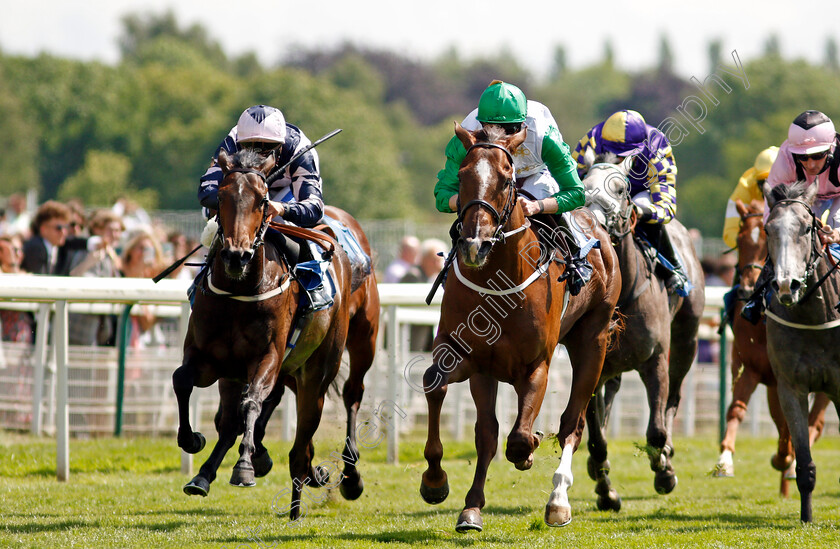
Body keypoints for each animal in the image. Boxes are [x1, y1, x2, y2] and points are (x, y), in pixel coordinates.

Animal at [172, 149, 378, 520]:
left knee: (339, 404)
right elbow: (183, 381)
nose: (236, 255)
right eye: (220, 197)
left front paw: (244, 467)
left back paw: (329, 485)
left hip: (347, 349)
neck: (240, 291)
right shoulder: (210, 359)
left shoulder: (267, 357)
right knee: (246, 421)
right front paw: (193, 440)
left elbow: (252, 403)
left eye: (263, 201)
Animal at [420, 124, 624, 532]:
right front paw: (442, 487)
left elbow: (518, 438)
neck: (499, 282)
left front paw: (530, 447)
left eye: (505, 179)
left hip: (592, 341)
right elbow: (444, 393)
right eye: (462, 176)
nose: (475, 245)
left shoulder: (535, 366)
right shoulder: (469, 357)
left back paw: (558, 501)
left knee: (573, 423)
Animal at [580, 155, 704, 512]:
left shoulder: (656, 360)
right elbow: (597, 439)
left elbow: (657, 430)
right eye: (583, 183)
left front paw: (664, 470)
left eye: (621, 188)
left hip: (687, 340)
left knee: (673, 399)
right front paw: (606, 491)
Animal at [712, 198, 832, 496]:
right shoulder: (755, 369)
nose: (745, 290)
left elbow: (796, 426)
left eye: (764, 244)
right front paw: (725, 461)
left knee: (816, 422)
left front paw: (789, 462)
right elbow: (737, 409)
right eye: (740, 239)